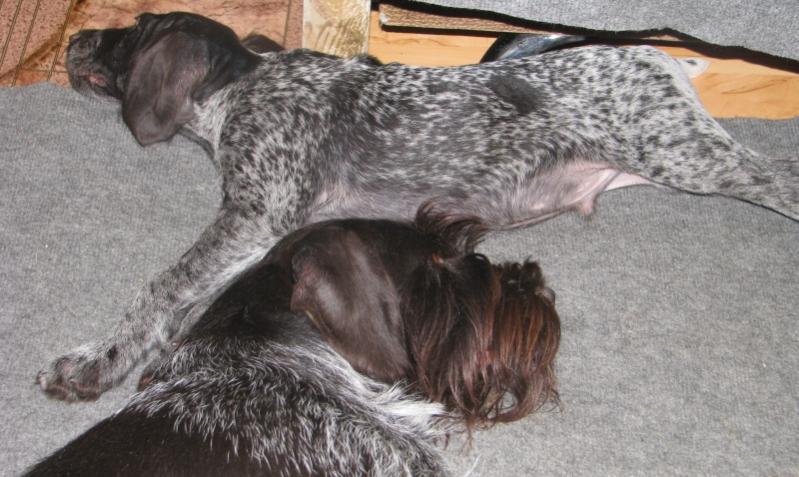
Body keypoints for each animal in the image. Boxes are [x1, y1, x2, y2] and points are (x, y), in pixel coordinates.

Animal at [38, 11, 797, 402]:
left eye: (129, 33)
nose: (74, 38)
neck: (241, 87)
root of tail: (653, 52)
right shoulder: (255, 226)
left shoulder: (255, 214)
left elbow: (160, 287)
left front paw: (94, 359)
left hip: (686, 153)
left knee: (783, 179)